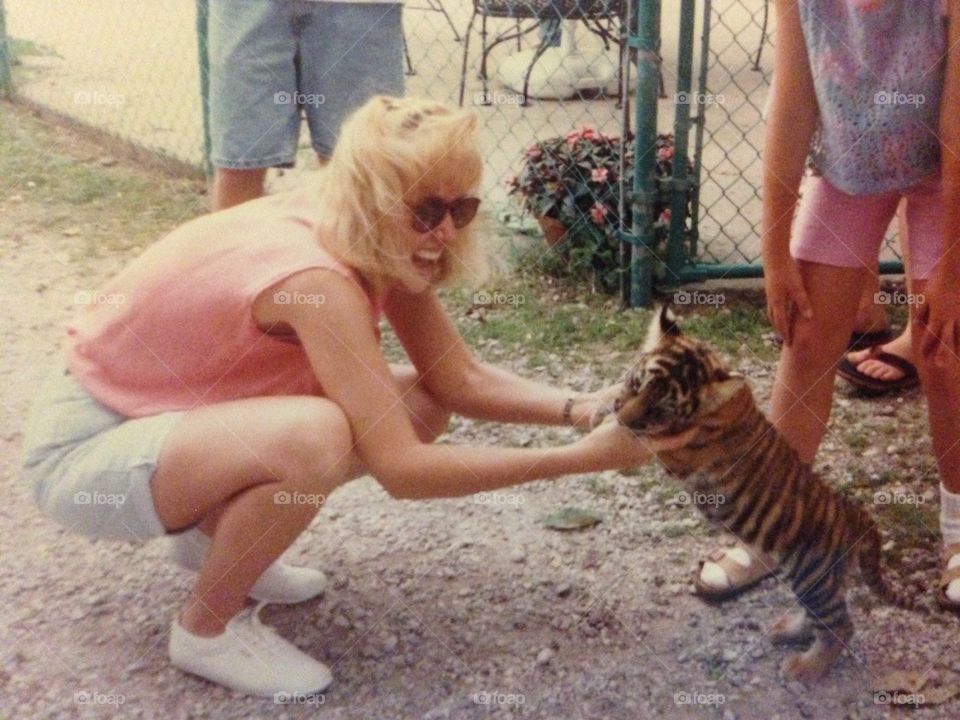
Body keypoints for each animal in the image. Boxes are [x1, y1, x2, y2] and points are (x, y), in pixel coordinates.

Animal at [593, 306, 923, 683]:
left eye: (661, 409)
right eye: (638, 384)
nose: (625, 419)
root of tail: (856, 514)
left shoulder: (682, 453)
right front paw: (602, 405)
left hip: (813, 576)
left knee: (840, 626)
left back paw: (805, 668)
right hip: (820, 579)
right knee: (821, 616)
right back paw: (787, 631)